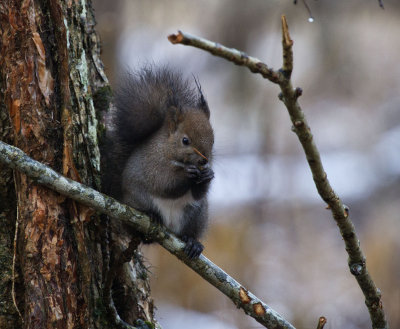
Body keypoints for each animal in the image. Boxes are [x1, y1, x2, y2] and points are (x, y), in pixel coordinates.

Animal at [104, 65, 214, 258]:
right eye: (185, 141)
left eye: (213, 138)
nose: (204, 161)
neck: (168, 150)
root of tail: (170, 226)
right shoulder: (154, 164)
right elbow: (164, 183)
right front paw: (187, 174)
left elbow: (198, 194)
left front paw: (208, 174)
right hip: (136, 202)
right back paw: (151, 217)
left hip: (197, 214)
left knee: (190, 231)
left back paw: (193, 242)